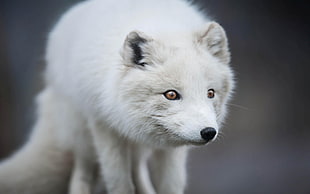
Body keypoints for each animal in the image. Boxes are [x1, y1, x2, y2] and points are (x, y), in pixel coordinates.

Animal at [0, 0, 232, 193]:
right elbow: (120, 183)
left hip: (135, 147)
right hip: (84, 139)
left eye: (210, 93)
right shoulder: (104, 128)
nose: (208, 132)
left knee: (137, 170)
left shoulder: (171, 150)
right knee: (80, 175)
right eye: (171, 94)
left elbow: (170, 185)